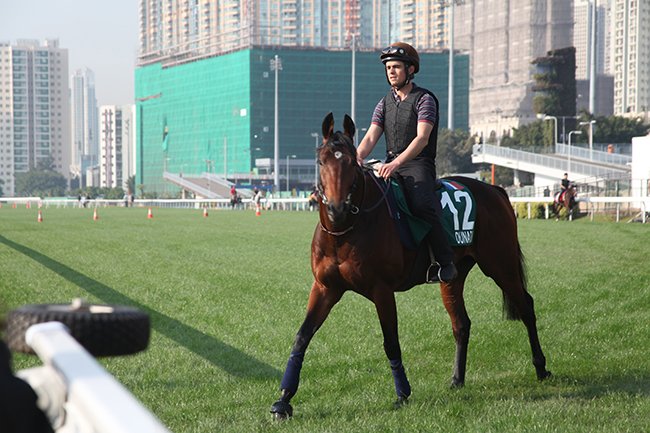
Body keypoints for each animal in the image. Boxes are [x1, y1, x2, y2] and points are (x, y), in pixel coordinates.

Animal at [270, 113, 551, 419]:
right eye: (321, 162)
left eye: (351, 162)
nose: (337, 208)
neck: (346, 232)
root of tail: (495, 191)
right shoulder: (325, 288)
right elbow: (302, 337)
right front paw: (283, 399)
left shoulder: (382, 291)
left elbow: (390, 342)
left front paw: (402, 393)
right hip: (453, 276)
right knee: (461, 324)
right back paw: (457, 379)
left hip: (501, 264)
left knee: (526, 306)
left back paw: (541, 367)